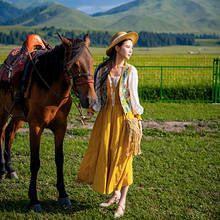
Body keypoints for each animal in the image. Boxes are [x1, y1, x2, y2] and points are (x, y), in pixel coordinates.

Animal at [0, 34, 97, 211]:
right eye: (74, 65)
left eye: (92, 62)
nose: (90, 100)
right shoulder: (36, 126)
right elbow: (35, 162)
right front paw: (34, 200)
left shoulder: (61, 127)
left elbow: (59, 159)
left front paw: (63, 195)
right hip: (3, 112)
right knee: (1, 133)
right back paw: (3, 168)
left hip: (18, 116)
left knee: (9, 133)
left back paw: (10, 170)